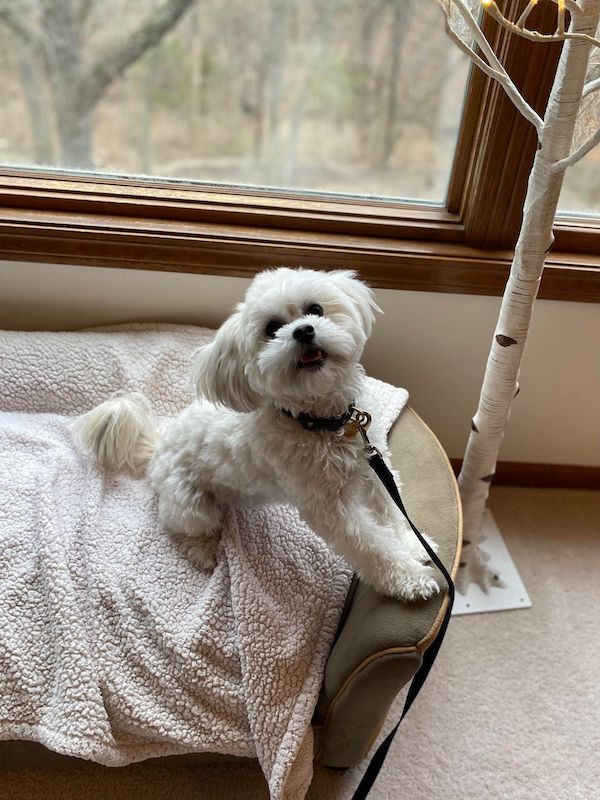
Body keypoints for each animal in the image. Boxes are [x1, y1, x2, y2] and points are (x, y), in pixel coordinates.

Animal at [77, 268, 438, 600]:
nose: (304, 330)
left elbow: (391, 509)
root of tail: (158, 449)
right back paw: (202, 550)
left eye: (316, 309)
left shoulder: (371, 466)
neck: (324, 424)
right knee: (180, 526)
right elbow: (371, 546)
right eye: (272, 329)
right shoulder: (329, 509)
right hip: (191, 504)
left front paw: (414, 546)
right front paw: (409, 579)